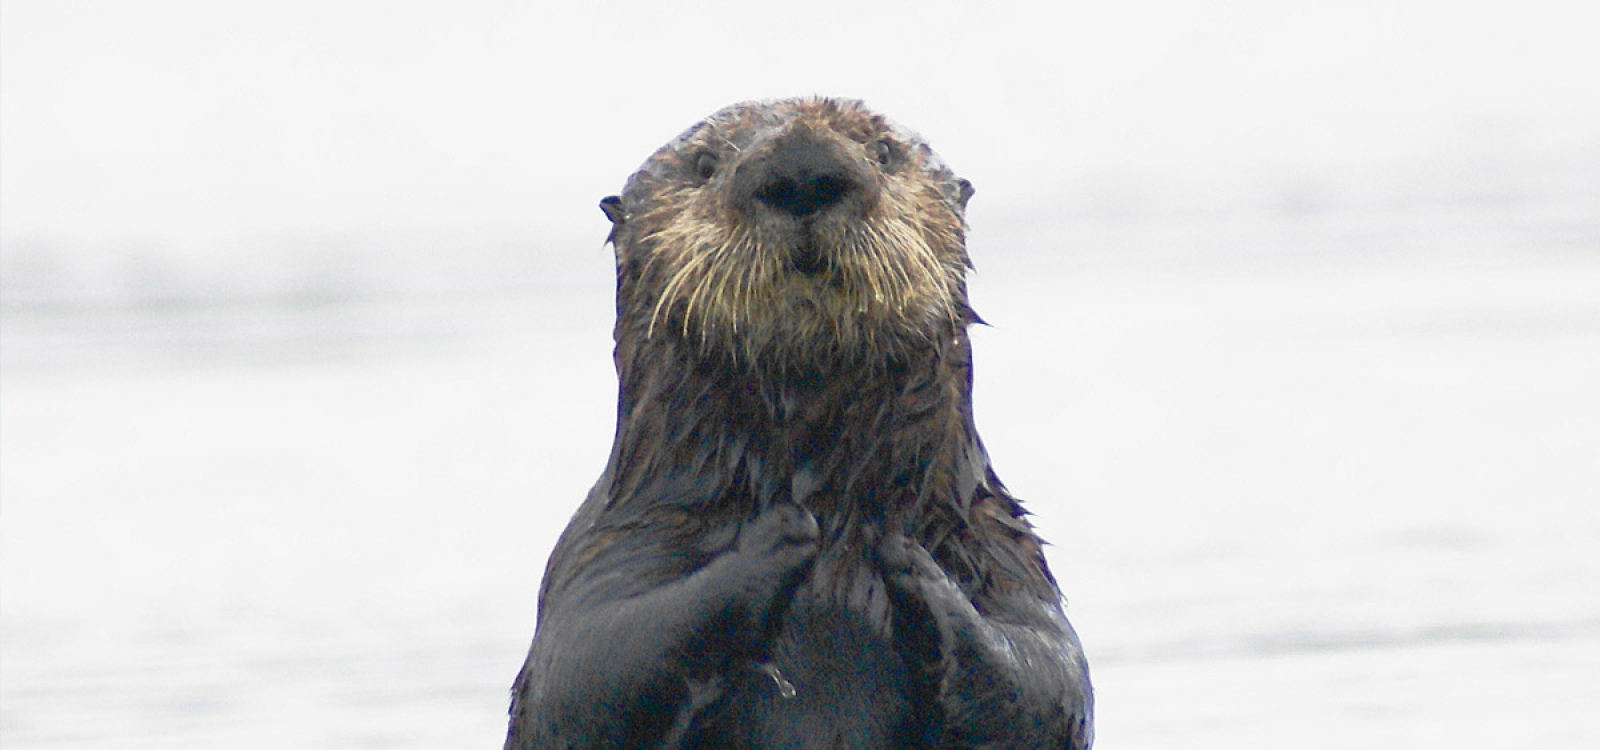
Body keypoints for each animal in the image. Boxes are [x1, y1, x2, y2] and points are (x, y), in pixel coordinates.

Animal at [505, 98, 1092, 750]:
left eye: (884, 152)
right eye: (704, 165)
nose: (803, 167)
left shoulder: (1003, 555)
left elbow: (1048, 681)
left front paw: (911, 563)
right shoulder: (604, 554)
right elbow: (588, 670)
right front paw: (784, 535)